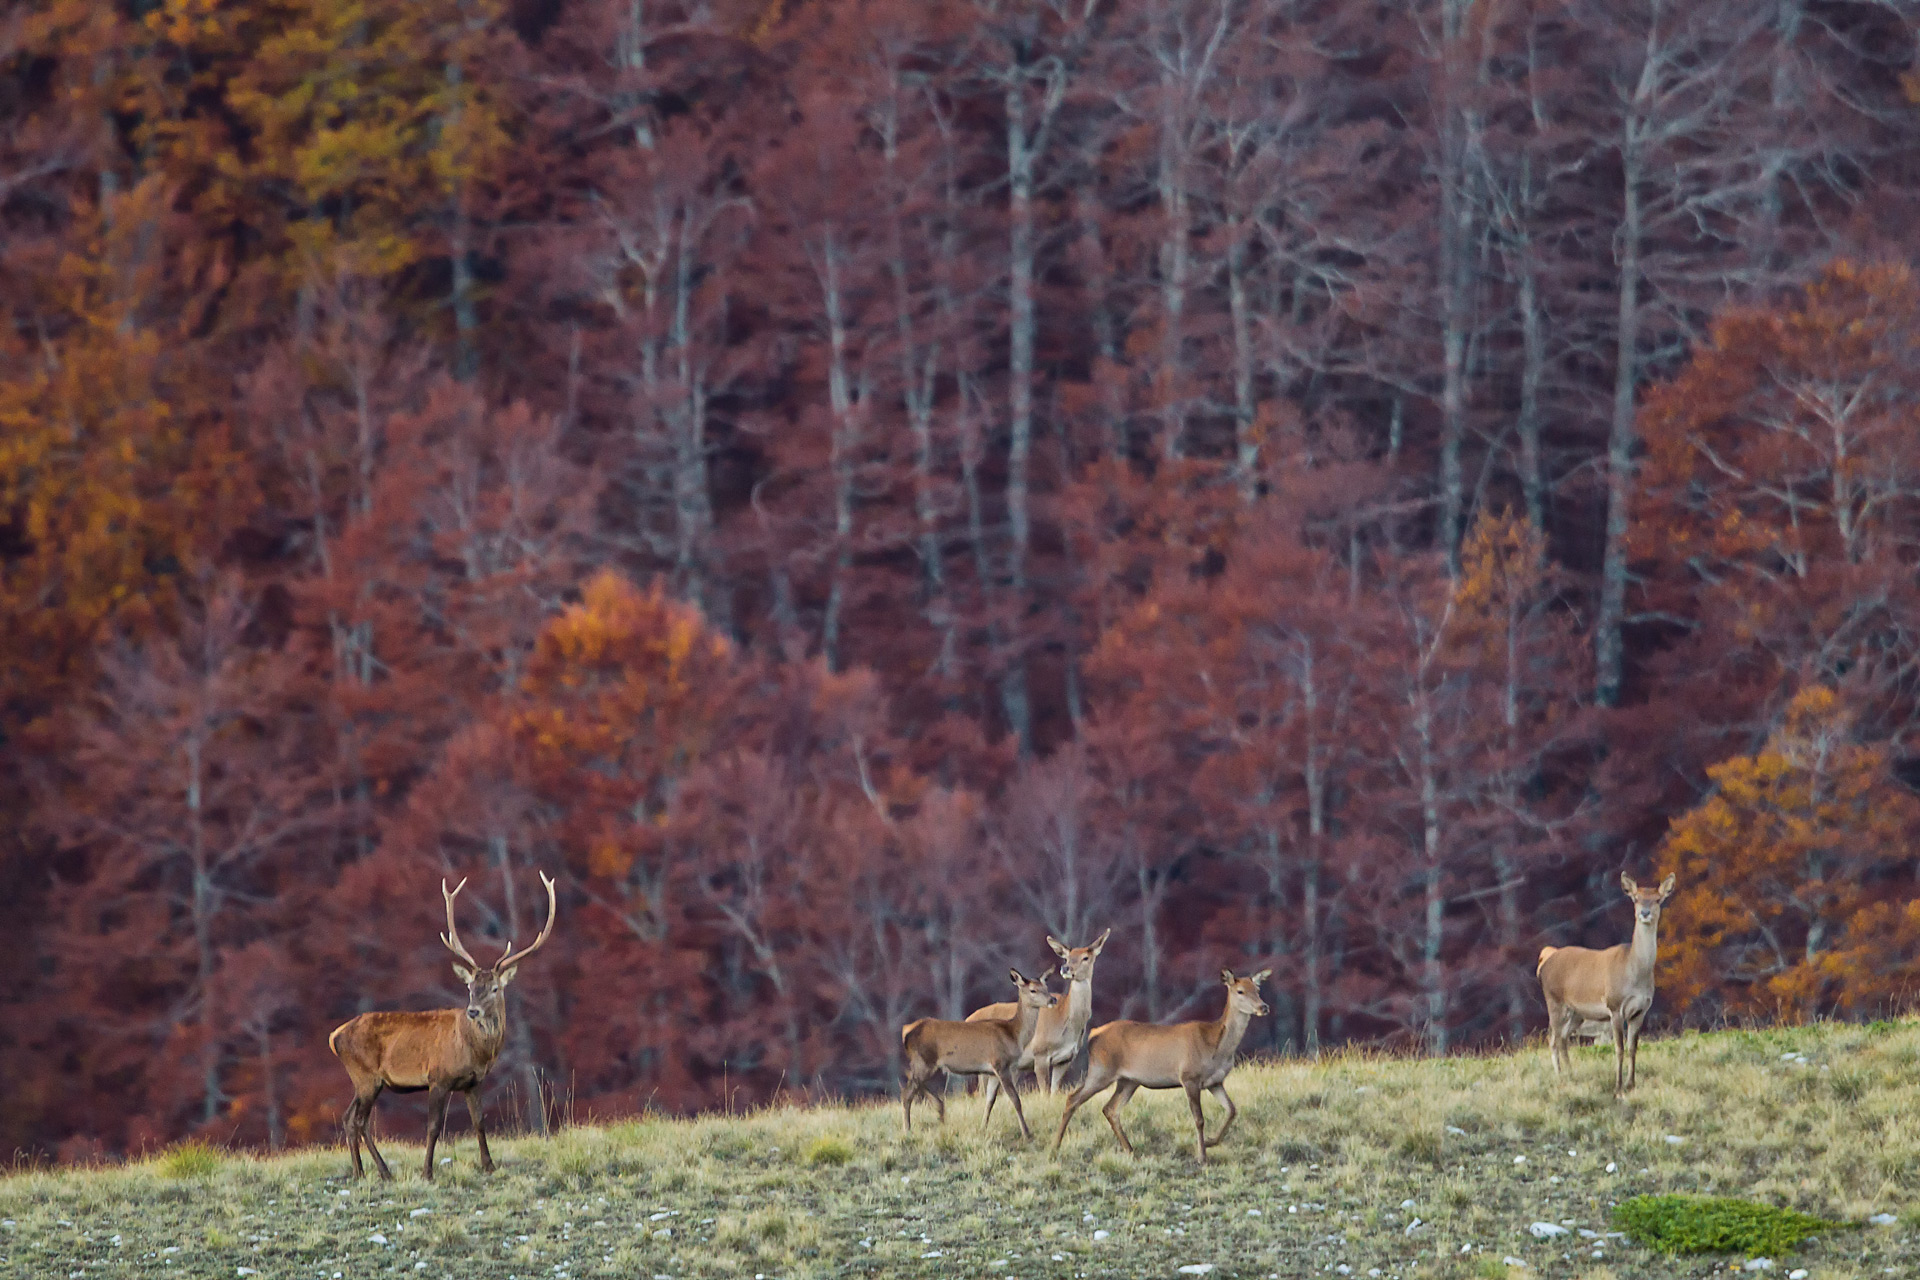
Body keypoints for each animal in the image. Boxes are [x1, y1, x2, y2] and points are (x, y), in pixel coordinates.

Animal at [326, 871, 556, 1182]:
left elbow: (479, 1121)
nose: (473, 1011)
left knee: (349, 1118)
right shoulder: (438, 1077)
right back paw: (383, 1172)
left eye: (494, 988)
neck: (476, 1051)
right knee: (360, 1120)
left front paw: (489, 1165)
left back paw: (361, 1172)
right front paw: (427, 1172)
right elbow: (434, 1127)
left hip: (365, 1080)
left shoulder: (474, 1082)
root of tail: (334, 1036)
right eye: (470, 987)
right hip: (365, 1076)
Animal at [902, 971, 1059, 1143]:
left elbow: (990, 1100)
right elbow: (1015, 1099)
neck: (1013, 1034)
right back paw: (908, 1130)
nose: (1053, 999)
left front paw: (983, 1128)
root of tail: (907, 1031)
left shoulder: (992, 1072)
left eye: (1046, 987)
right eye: (1033, 990)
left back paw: (938, 1111)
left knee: (911, 1081)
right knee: (906, 1093)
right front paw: (1027, 1133)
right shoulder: (1000, 1064)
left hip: (923, 1063)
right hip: (924, 1061)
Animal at [967, 924, 1121, 1105]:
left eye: (1085, 957)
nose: (1066, 968)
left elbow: (1054, 1091)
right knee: (980, 1092)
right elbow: (1045, 1092)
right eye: (1067, 957)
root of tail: (967, 1018)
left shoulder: (1065, 1059)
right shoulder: (1039, 1054)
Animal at [1059, 967, 1267, 1166]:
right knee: (1073, 1099)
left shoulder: (1215, 1082)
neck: (1216, 1048)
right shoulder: (1189, 1077)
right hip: (1101, 1071)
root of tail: (1093, 1034)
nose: (1263, 1007)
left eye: (1257, 989)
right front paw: (1202, 1156)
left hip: (1128, 1080)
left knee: (1110, 1109)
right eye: (1240, 991)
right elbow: (1199, 1119)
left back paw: (1130, 1150)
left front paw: (1210, 1142)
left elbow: (1232, 1110)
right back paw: (1056, 1146)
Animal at [1536, 871, 1674, 1105]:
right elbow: (1619, 1049)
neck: (1634, 973)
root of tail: (1546, 959)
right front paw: (1618, 1089)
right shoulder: (1615, 1006)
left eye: (1657, 899)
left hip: (1577, 1013)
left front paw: (1631, 1085)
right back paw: (1563, 1076)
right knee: (1554, 1039)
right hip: (1554, 1000)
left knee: (1560, 1037)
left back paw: (1568, 1074)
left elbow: (1633, 1047)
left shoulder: (1641, 1010)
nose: (1645, 913)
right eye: (1636, 898)